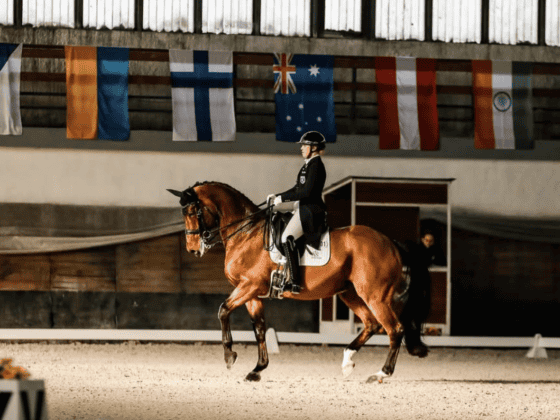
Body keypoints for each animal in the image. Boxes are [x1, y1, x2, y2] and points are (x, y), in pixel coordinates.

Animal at [168, 180, 430, 384]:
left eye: (193, 213)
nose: (193, 250)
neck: (246, 232)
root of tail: (391, 242)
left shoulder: (248, 286)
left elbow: (223, 310)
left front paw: (230, 356)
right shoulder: (251, 293)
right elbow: (259, 329)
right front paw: (257, 369)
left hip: (375, 295)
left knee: (394, 329)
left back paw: (381, 373)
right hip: (351, 293)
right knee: (371, 325)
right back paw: (347, 363)